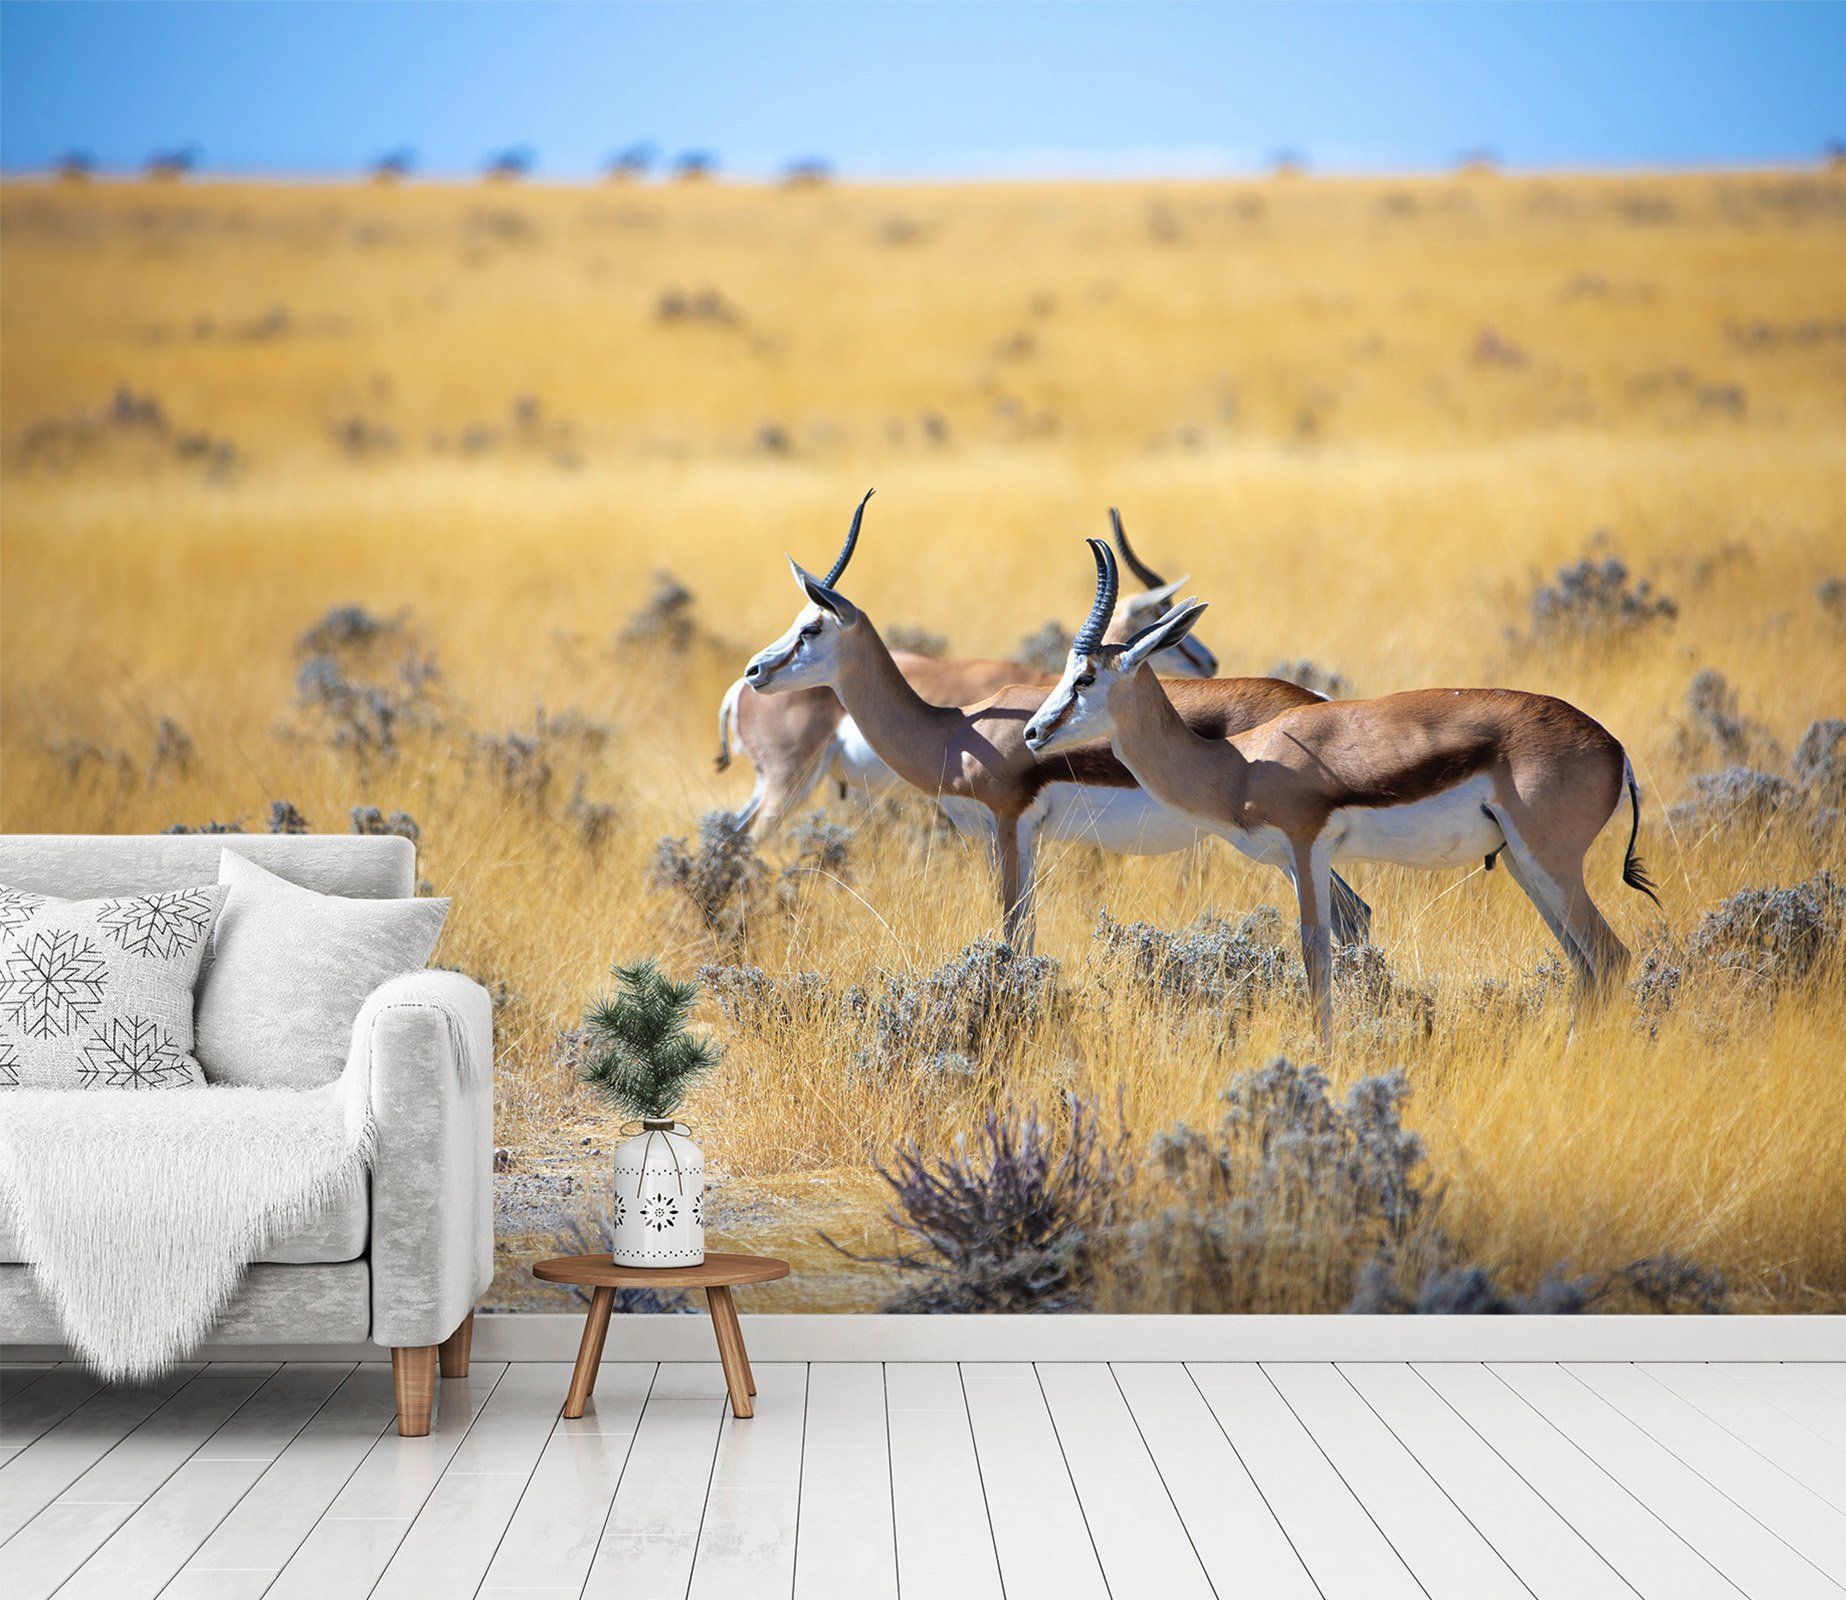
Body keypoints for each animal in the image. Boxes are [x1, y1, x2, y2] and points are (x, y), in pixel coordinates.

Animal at [1023, 540, 1662, 1040]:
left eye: (1085, 677)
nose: (1033, 732)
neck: (1240, 763)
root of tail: (1616, 750)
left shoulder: (1308, 848)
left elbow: (1315, 950)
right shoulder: (1296, 859)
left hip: (1550, 863)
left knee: (1610, 957)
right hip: (1525, 866)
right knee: (1586, 965)